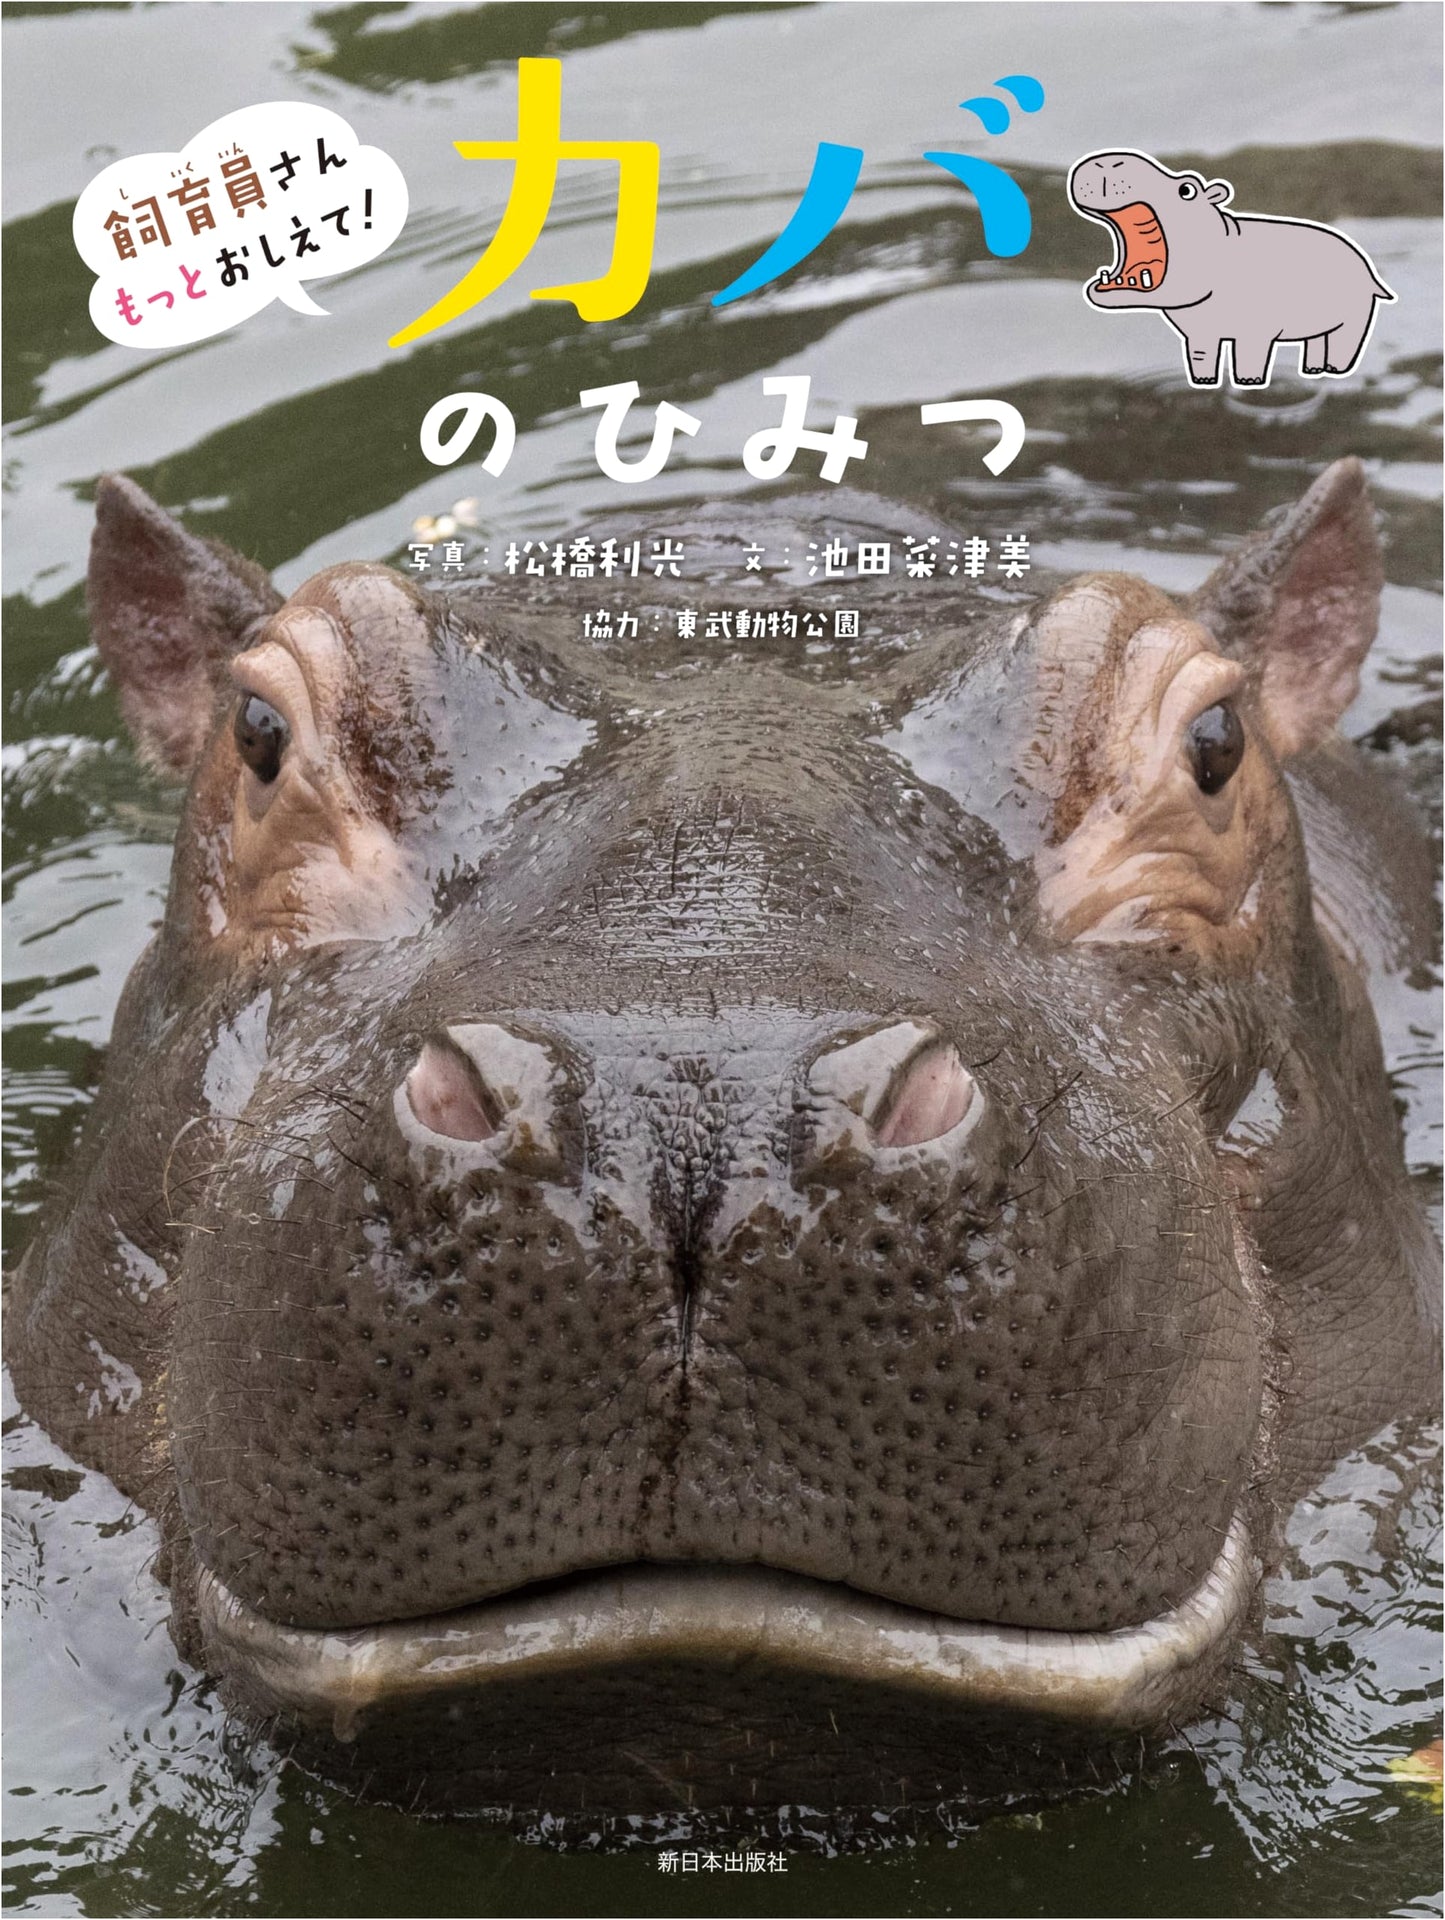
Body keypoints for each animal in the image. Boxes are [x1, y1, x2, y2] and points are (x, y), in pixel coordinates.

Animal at [1069, 149, 1394, 387]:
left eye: (1187, 189)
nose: (1107, 161)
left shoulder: (1257, 328)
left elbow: (1250, 356)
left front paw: (1249, 381)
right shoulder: (1200, 331)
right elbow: (1202, 356)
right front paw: (1204, 380)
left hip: (1353, 317)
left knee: (1344, 344)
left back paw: (1333, 370)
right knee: (1315, 341)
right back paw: (1313, 370)